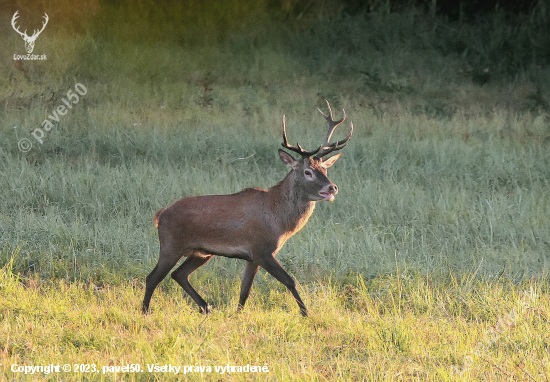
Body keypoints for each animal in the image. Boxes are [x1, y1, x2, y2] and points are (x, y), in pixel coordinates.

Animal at [142, 100, 354, 316]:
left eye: (325, 169)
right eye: (308, 172)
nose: (332, 187)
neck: (278, 219)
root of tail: (160, 215)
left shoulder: (252, 257)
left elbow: (245, 290)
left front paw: (238, 315)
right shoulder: (261, 250)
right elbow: (290, 281)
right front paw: (305, 314)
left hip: (201, 252)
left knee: (179, 274)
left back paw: (206, 307)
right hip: (171, 244)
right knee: (153, 277)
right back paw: (145, 311)